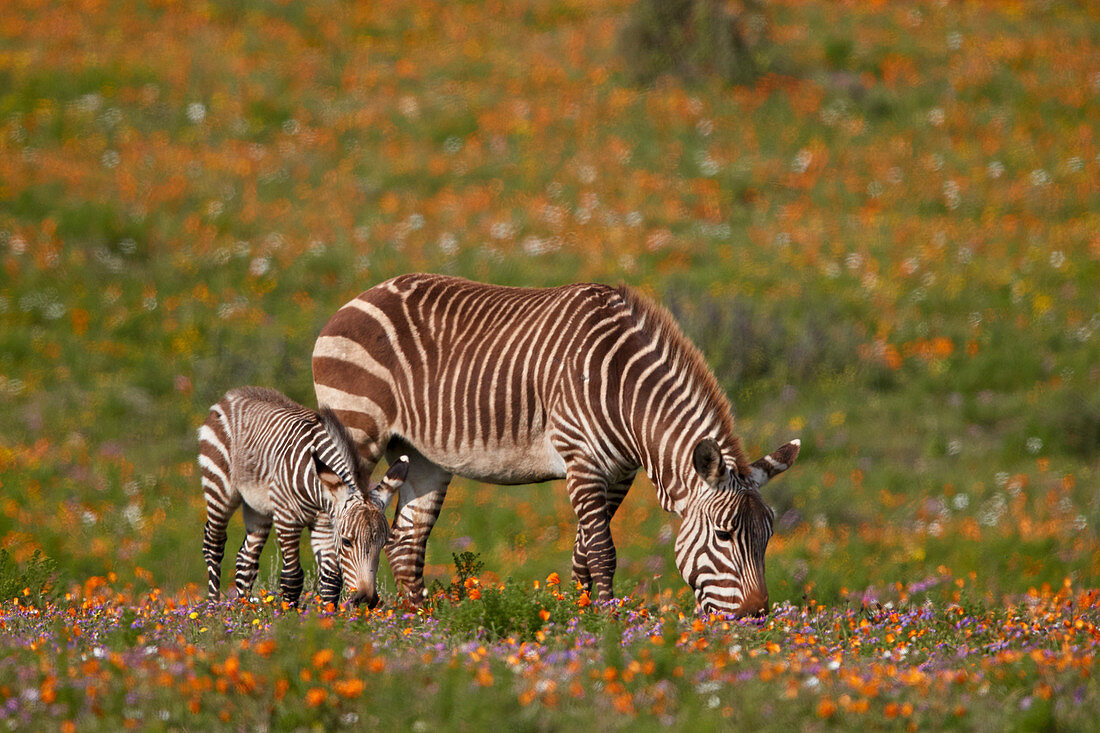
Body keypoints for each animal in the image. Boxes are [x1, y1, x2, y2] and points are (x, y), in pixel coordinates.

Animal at [198, 385, 409, 607]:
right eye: (346, 542)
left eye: (383, 544)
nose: (366, 599)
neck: (318, 492)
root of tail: (232, 395)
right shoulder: (286, 519)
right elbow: (292, 577)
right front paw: (289, 614)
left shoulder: (324, 525)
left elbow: (331, 579)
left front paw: (329, 615)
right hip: (219, 487)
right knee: (214, 543)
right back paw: (214, 606)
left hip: (257, 507)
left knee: (246, 559)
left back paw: (244, 609)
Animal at [310, 274, 800, 616]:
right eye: (723, 535)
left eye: (768, 537)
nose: (756, 616)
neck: (625, 390)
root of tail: (360, 298)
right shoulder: (581, 459)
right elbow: (603, 552)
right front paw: (607, 623)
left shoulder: (618, 474)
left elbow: (583, 553)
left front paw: (581, 619)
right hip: (357, 430)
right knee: (335, 524)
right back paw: (334, 616)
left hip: (424, 456)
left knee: (406, 543)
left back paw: (418, 628)